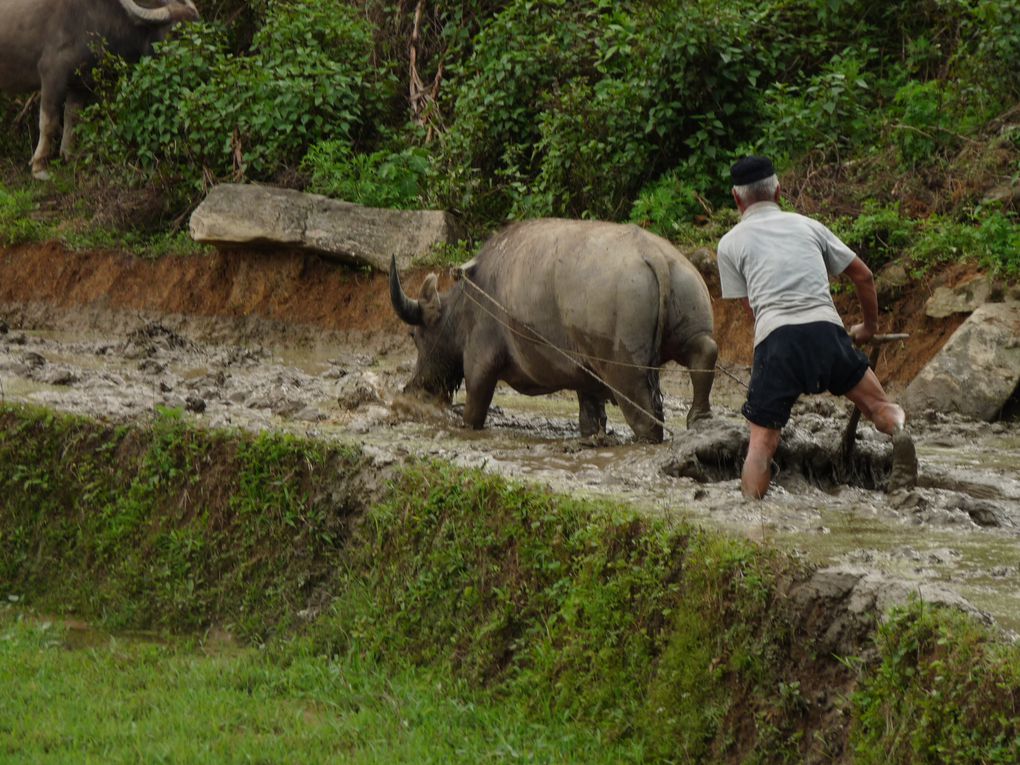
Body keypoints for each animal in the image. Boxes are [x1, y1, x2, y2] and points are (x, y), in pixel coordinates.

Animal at [0, 0, 197, 179]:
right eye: (174, 33)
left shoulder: (82, 84)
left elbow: (73, 117)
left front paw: (69, 156)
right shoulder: (52, 73)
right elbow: (48, 122)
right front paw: (39, 166)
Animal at [389, 218, 718, 442]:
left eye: (416, 337)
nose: (413, 388)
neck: (468, 300)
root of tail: (655, 256)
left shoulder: (481, 361)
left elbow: (476, 404)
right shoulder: (587, 375)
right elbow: (590, 413)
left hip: (627, 369)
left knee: (646, 417)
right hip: (690, 322)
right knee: (704, 353)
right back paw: (699, 417)